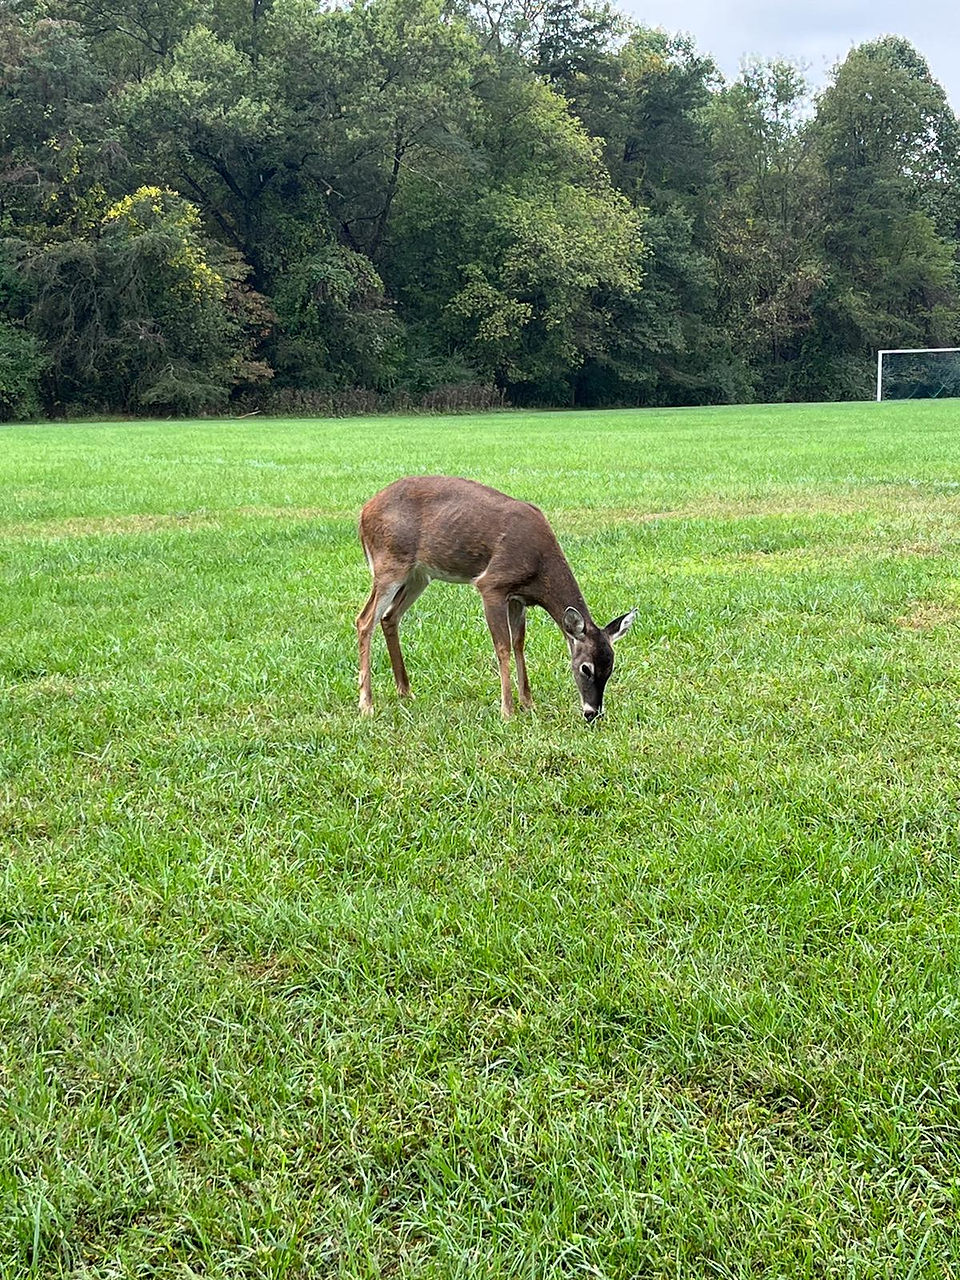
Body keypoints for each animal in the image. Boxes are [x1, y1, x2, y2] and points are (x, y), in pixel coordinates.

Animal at [356, 476, 635, 721]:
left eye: (610, 668)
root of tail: (363, 513)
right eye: (585, 668)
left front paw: (528, 703)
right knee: (365, 620)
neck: (539, 566)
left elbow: (519, 643)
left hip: (418, 575)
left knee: (389, 617)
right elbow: (502, 647)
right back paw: (366, 705)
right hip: (389, 563)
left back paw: (406, 692)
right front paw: (507, 711)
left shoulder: (518, 598)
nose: (592, 713)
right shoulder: (492, 585)